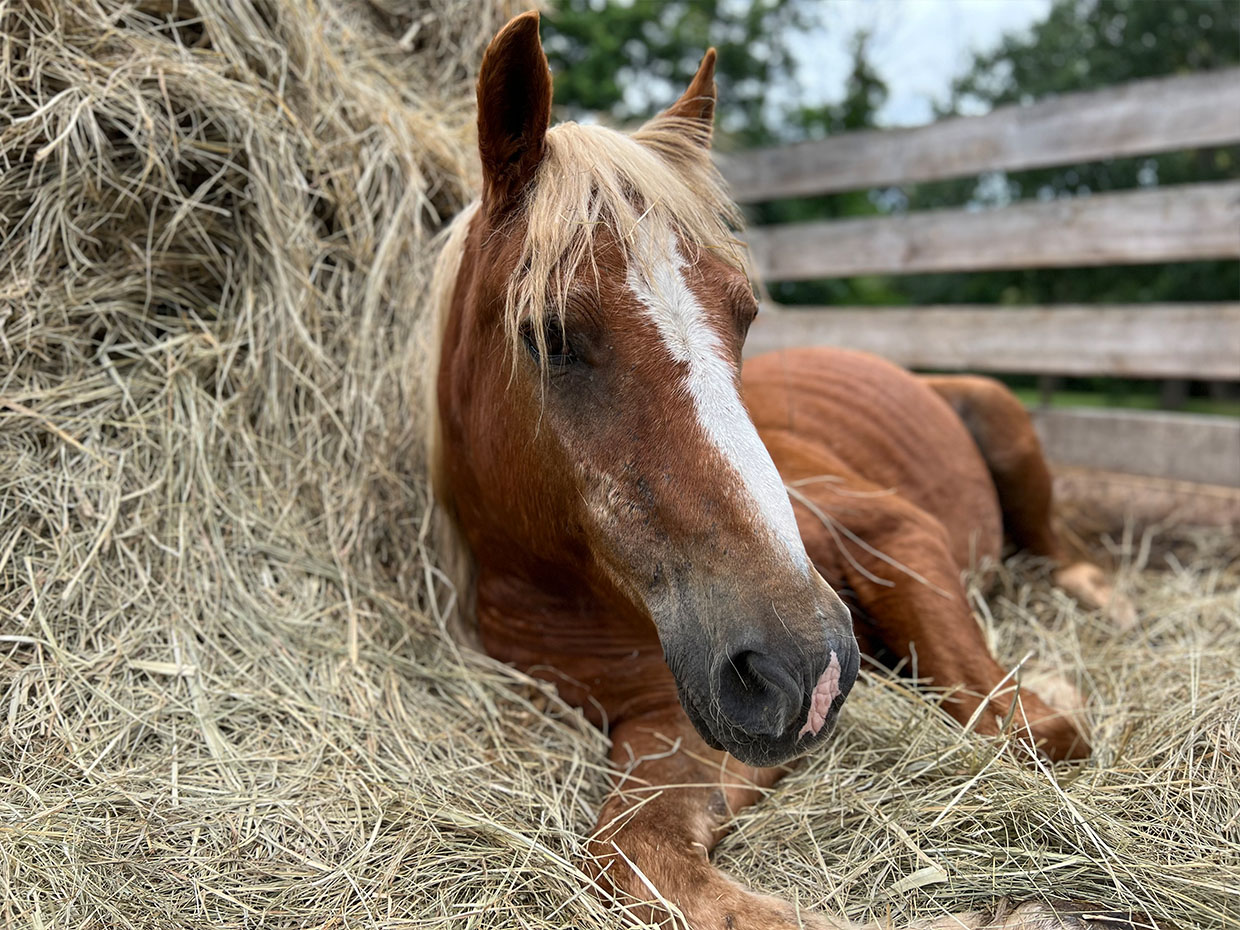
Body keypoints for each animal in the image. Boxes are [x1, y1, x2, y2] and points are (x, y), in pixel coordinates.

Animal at [429, 10, 1135, 927]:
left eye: (745, 314)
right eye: (550, 335)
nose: (804, 665)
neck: (579, 596)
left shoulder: (893, 531)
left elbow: (1028, 727)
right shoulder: (677, 719)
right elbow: (637, 853)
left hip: (1004, 429)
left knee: (1061, 545)